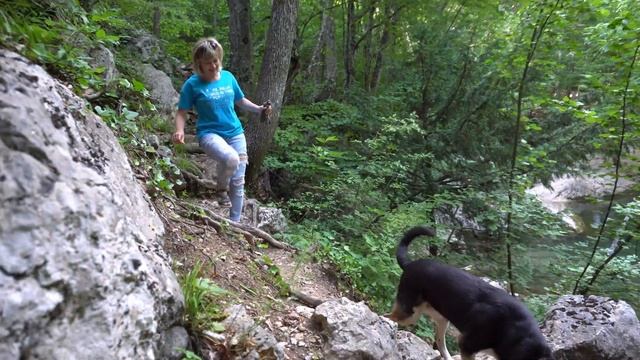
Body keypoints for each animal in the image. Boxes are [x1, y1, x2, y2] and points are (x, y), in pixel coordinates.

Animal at [388, 226, 552, 358]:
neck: (513, 331)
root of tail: (410, 264)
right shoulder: (466, 346)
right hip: (410, 315)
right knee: (389, 317)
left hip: (441, 319)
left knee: (440, 342)